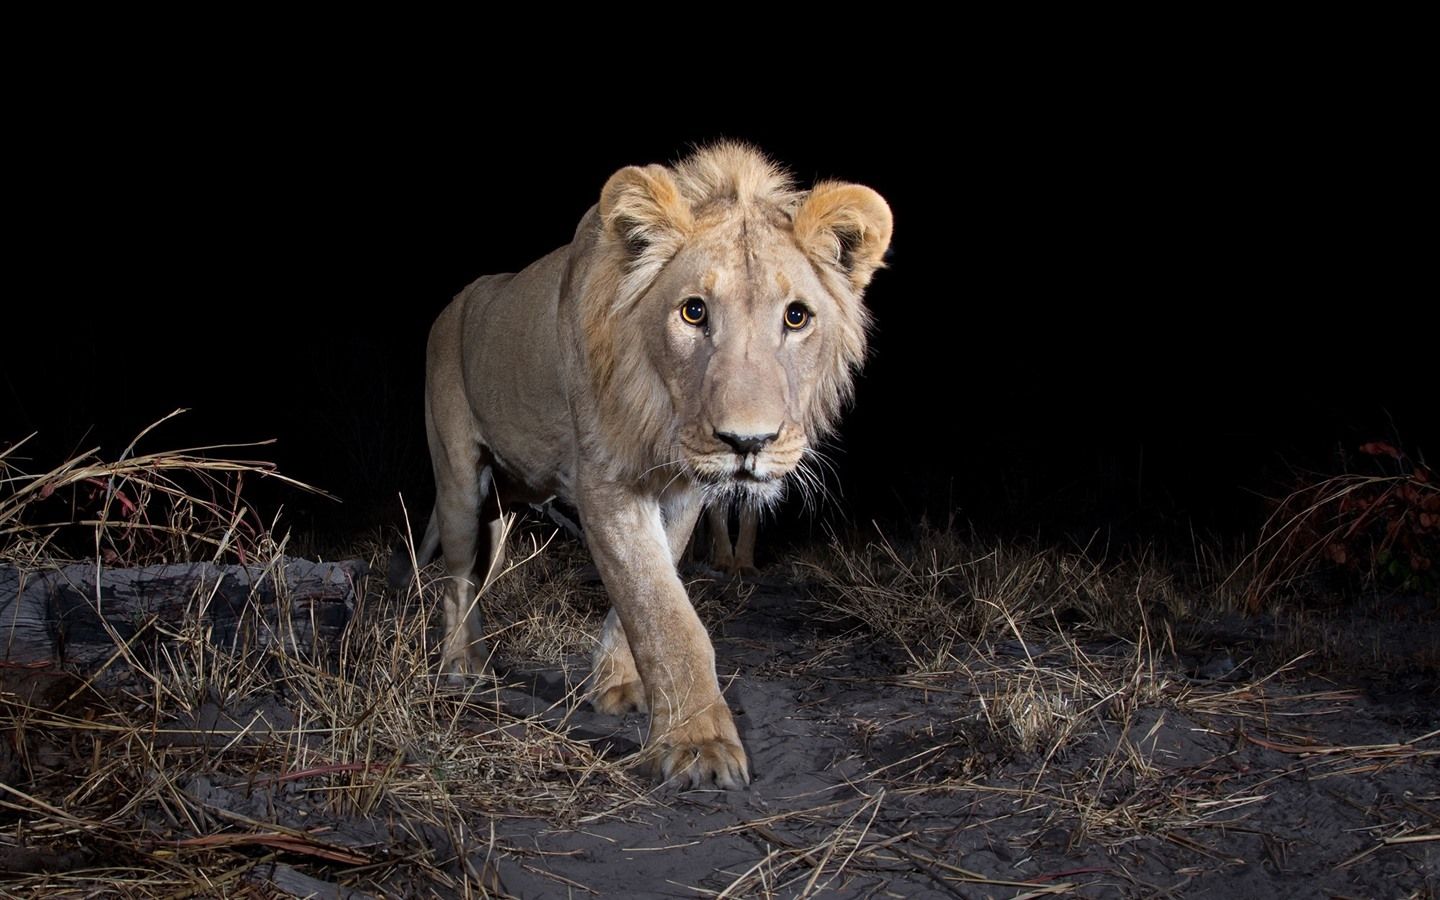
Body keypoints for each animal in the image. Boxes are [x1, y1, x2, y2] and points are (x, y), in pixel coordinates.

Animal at [399, 143, 891, 789]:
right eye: (693, 312)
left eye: (796, 317)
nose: (749, 441)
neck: (663, 414)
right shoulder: (604, 479)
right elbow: (662, 611)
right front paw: (699, 747)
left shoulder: (683, 491)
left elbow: (646, 598)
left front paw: (616, 685)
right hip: (459, 481)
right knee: (455, 580)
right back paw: (461, 667)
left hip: (499, 517)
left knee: (481, 576)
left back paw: (479, 660)